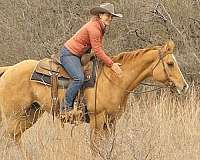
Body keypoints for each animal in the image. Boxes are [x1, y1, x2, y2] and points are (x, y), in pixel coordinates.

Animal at [0, 40, 188, 142]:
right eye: (170, 63)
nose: (184, 86)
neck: (114, 79)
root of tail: (9, 70)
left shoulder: (111, 122)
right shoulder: (97, 120)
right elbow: (95, 147)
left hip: (30, 114)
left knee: (13, 138)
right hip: (14, 115)